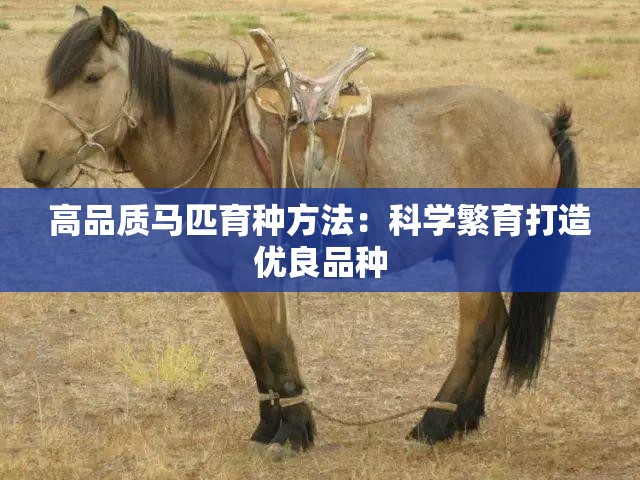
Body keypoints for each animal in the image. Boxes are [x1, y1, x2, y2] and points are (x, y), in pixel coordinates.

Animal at [17, 6, 578, 454]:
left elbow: (273, 345)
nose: (31, 159)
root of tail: (541, 122)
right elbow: (254, 348)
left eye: (91, 76)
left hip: (477, 255)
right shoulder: (227, 277)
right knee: (498, 322)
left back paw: (433, 425)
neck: (216, 142)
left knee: (478, 329)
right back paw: (465, 418)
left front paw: (293, 433)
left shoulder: (253, 271)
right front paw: (269, 426)